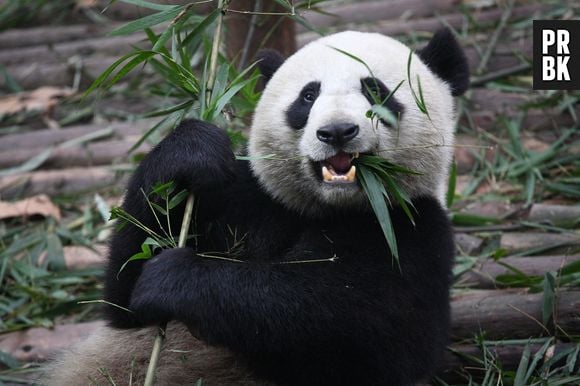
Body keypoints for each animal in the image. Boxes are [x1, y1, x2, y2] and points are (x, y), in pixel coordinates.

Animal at [46, 28, 472, 384]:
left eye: (376, 90)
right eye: (308, 96)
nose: (336, 132)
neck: (327, 208)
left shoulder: (412, 233)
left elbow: (339, 321)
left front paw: (173, 277)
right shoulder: (246, 199)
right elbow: (124, 299)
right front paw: (191, 151)